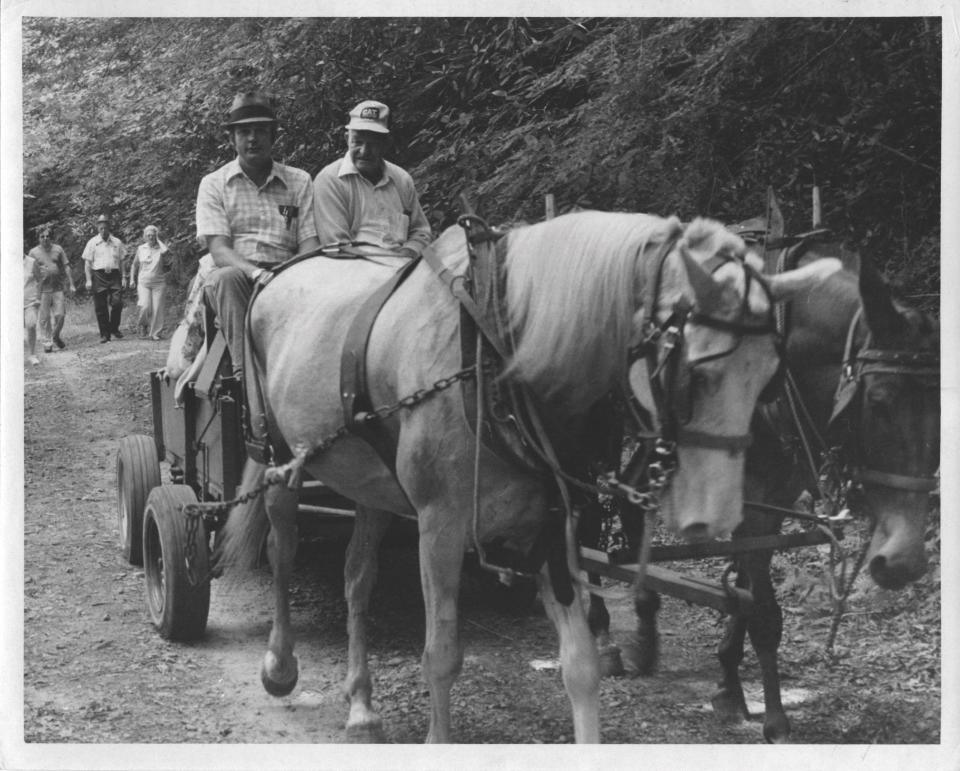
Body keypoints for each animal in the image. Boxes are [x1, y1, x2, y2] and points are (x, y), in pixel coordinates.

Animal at [216, 210, 840, 740]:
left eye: (770, 373)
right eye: (696, 369)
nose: (724, 513)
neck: (497, 353)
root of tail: (279, 272)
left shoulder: (554, 529)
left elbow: (581, 667)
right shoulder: (439, 529)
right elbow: (441, 656)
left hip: (372, 484)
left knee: (357, 579)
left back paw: (362, 705)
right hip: (278, 458)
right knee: (282, 551)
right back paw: (280, 665)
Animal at [580, 217, 940, 740]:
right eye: (879, 401)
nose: (904, 563)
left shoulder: (772, 500)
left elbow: (746, 590)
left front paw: (729, 685)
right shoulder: (747, 497)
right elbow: (764, 611)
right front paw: (773, 716)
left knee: (628, 502)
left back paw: (644, 629)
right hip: (590, 430)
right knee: (585, 517)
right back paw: (603, 633)